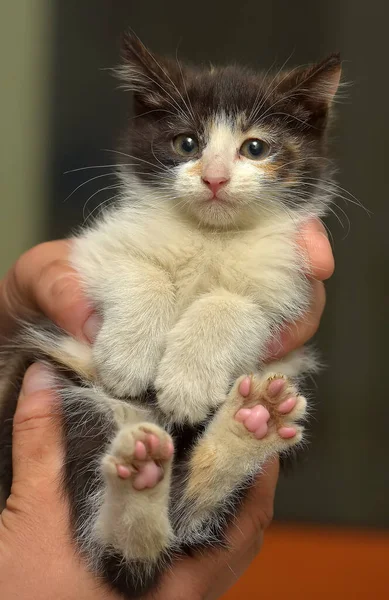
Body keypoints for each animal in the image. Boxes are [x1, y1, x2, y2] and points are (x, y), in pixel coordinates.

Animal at [0, 34, 340, 600]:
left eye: (255, 148)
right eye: (186, 143)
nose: (215, 178)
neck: (210, 236)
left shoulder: (288, 283)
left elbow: (237, 304)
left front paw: (187, 380)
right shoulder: (90, 253)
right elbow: (137, 272)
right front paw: (130, 357)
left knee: (175, 526)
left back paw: (251, 425)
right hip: (70, 392)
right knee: (125, 554)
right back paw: (143, 478)